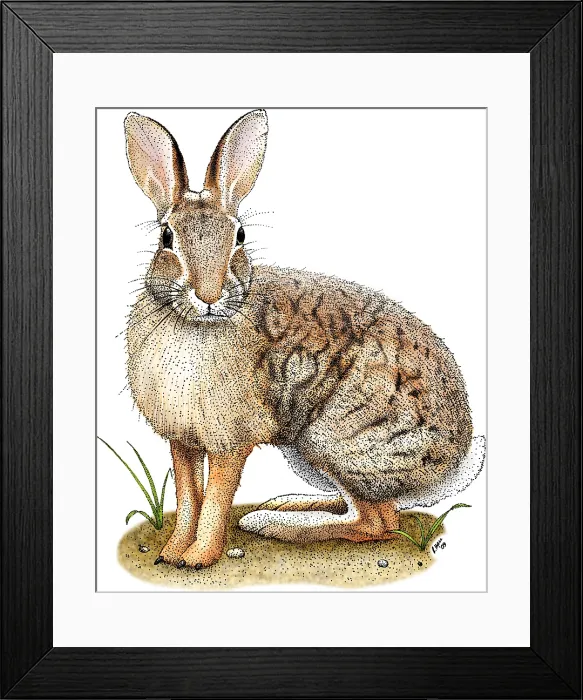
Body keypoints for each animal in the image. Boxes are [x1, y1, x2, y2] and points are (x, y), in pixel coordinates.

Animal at [124, 109, 486, 569]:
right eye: (166, 237)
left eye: (240, 237)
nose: (209, 295)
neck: (197, 323)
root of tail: (454, 461)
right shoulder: (183, 438)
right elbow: (189, 496)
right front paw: (172, 553)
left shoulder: (230, 438)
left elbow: (216, 500)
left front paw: (199, 557)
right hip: (309, 453)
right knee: (363, 509)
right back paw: (281, 504)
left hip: (335, 441)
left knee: (376, 522)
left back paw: (273, 524)